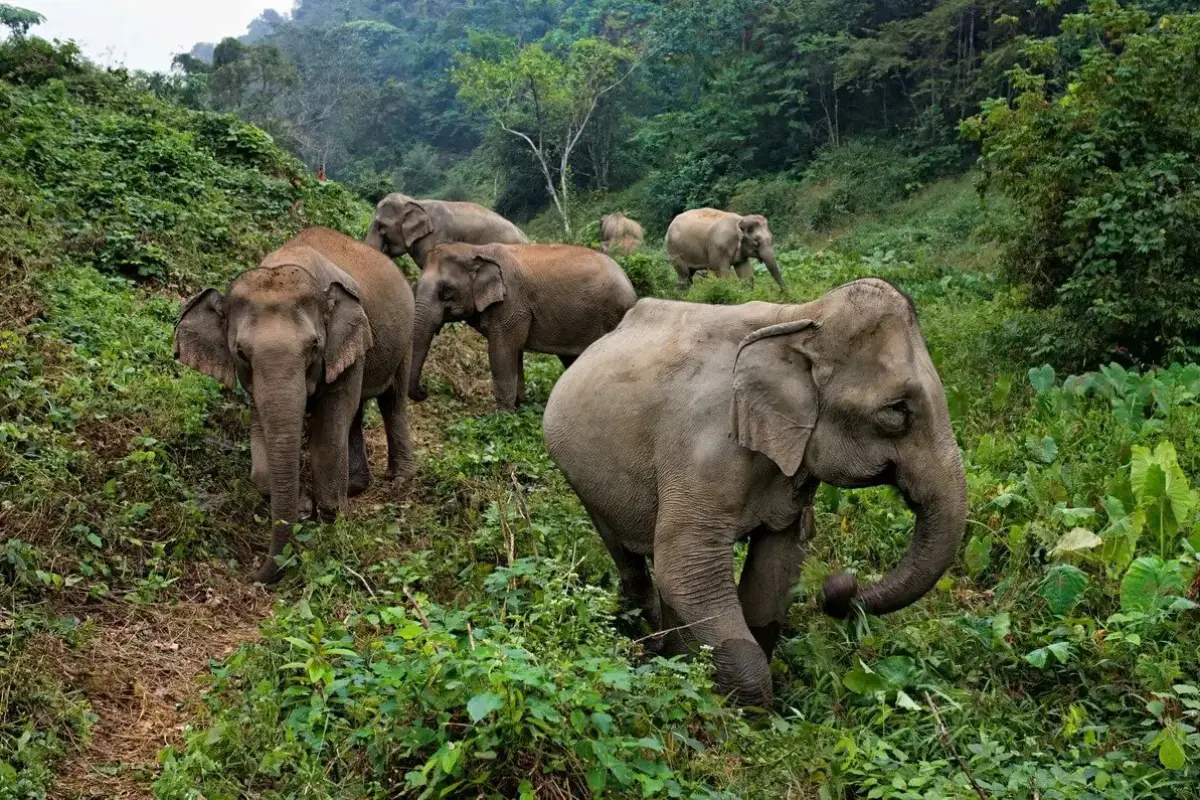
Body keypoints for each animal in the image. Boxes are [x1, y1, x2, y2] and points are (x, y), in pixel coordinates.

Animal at [174, 227, 416, 583]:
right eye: (240, 352)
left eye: (314, 346)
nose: (253, 575)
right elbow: (262, 431)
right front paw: (303, 506)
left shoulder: (343, 339)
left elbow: (328, 427)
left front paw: (331, 522)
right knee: (356, 413)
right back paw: (357, 486)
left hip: (405, 337)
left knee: (392, 402)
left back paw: (399, 480)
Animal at [409, 243, 637, 411]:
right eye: (415, 287)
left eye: (446, 290)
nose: (424, 391)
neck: (476, 249)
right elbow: (514, 352)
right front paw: (518, 406)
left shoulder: (511, 304)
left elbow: (501, 351)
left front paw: (502, 415)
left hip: (612, 314)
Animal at [543, 278, 966, 705]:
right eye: (897, 411)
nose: (837, 585)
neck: (801, 317)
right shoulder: (703, 448)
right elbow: (685, 565)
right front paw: (744, 710)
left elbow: (775, 565)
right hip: (578, 470)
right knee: (627, 554)